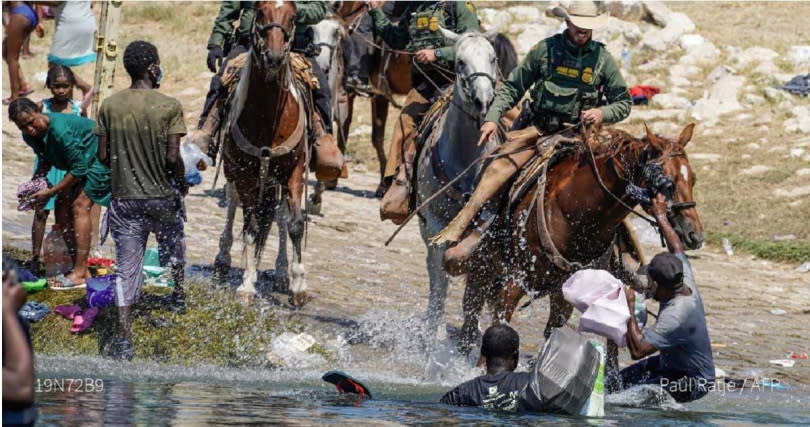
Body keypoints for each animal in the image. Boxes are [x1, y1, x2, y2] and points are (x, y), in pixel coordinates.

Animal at [215, 0, 310, 308]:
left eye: (293, 17)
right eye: (259, 12)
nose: (275, 57)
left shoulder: (294, 171)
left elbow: (294, 225)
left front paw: (298, 285)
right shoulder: (246, 174)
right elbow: (252, 227)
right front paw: (247, 284)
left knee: (279, 215)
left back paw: (281, 273)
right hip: (236, 172)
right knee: (234, 204)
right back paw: (223, 259)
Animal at [416, 30, 498, 344]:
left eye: (493, 58)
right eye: (460, 61)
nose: (483, 99)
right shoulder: (437, 223)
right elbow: (441, 276)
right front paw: (434, 328)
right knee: (434, 270)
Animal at [458, 123, 704, 354]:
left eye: (693, 179)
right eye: (669, 183)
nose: (695, 235)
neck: (575, 214)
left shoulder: (562, 294)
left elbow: (551, 336)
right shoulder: (514, 282)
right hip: (481, 264)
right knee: (470, 317)